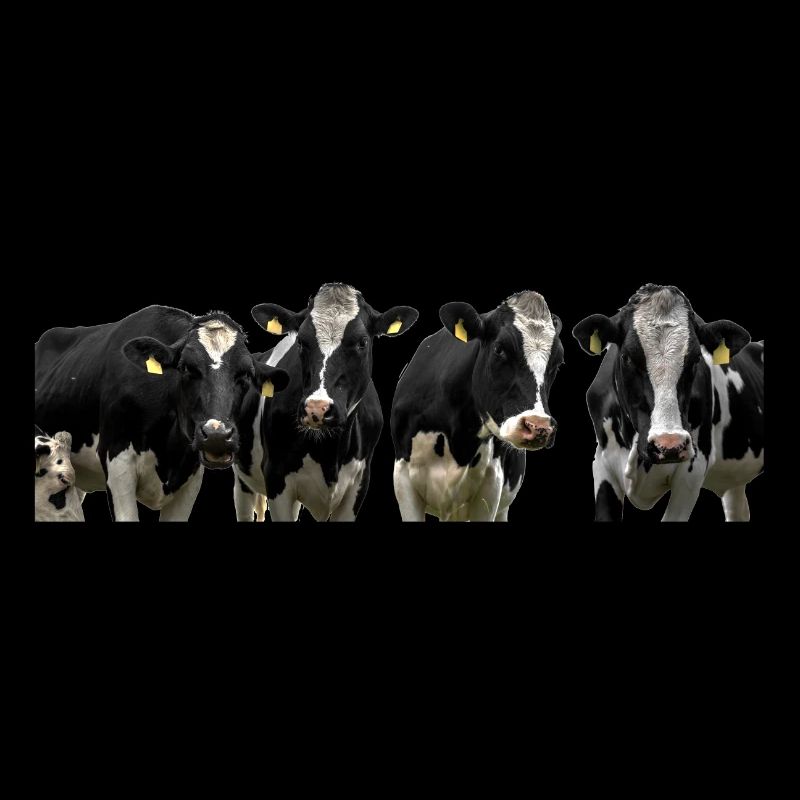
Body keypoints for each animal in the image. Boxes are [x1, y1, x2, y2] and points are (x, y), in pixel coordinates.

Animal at [35, 306, 289, 521]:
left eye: (246, 374)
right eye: (186, 368)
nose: (217, 436)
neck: (168, 448)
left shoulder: (190, 475)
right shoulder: (117, 460)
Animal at [233, 283, 419, 521]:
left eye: (362, 342)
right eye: (301, 341)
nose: (317, 409)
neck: (329, 454)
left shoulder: (359, 481)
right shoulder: (275, 476)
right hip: (242, 478)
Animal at [391, 291, 564, 521]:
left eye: (558, 361)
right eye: (499, 349)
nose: (539, 426)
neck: (459, 437)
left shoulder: (492, 485)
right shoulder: (403, 476)